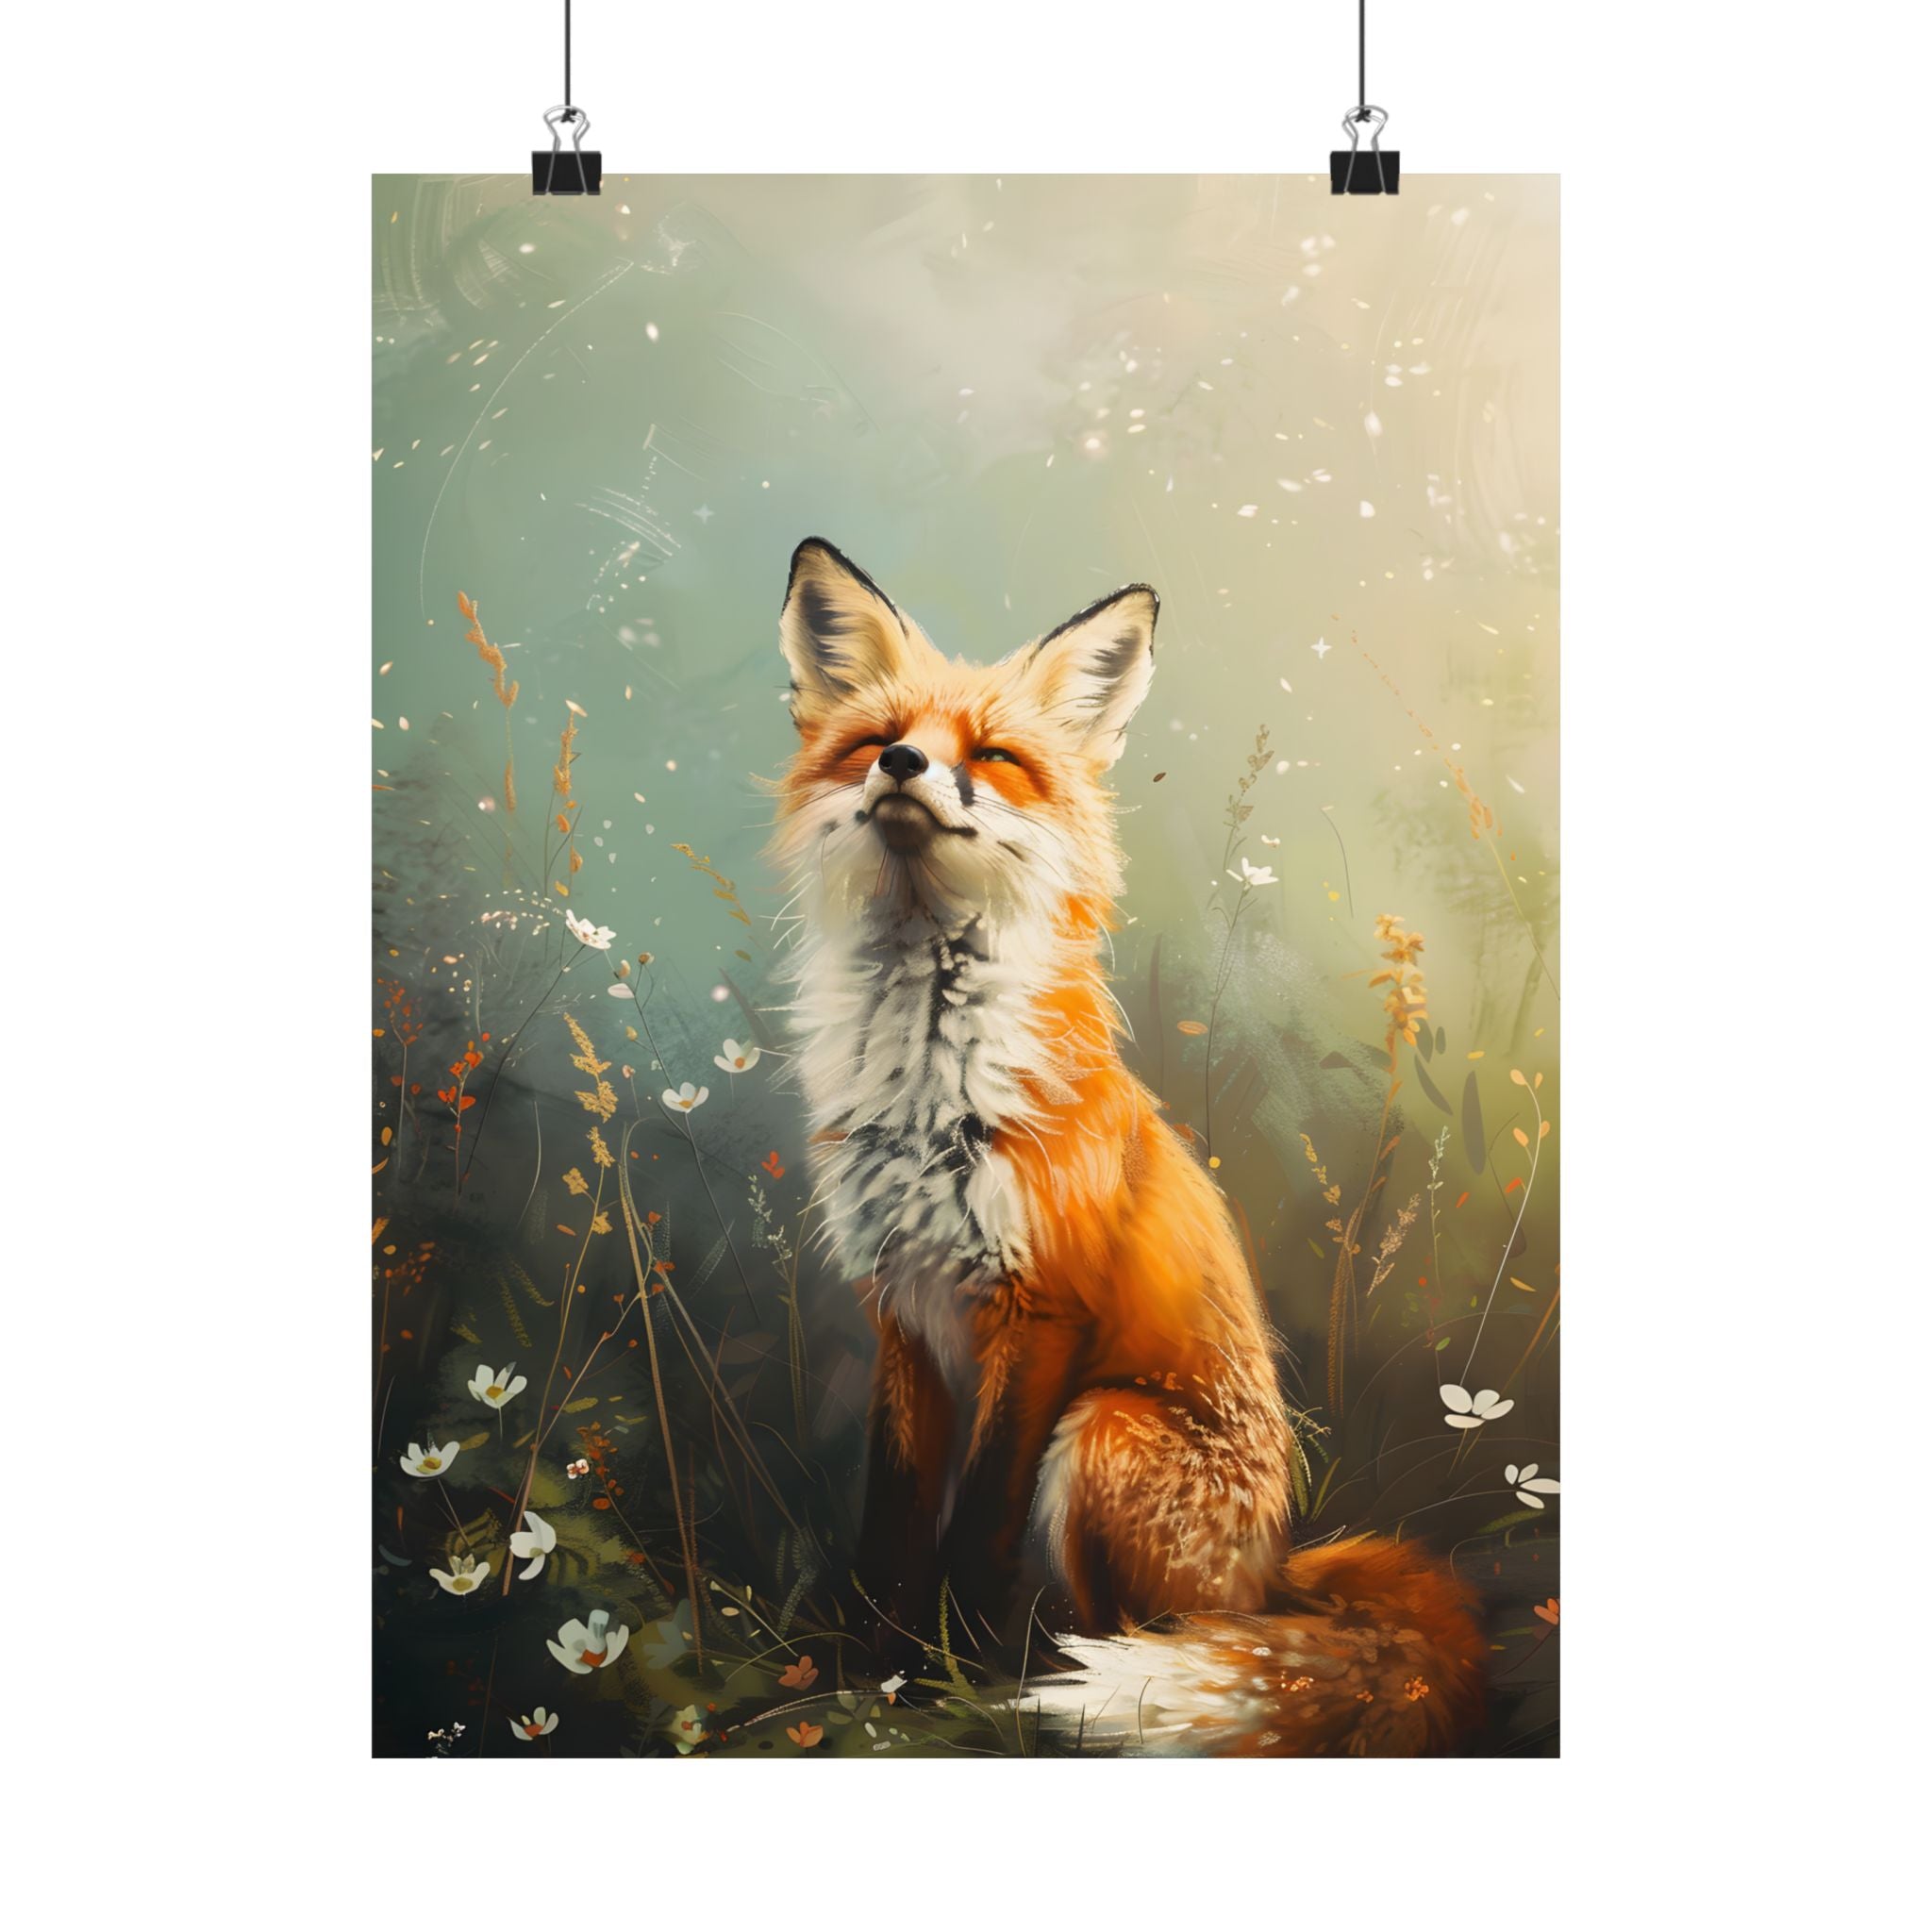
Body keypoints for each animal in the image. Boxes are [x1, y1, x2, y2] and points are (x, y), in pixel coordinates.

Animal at [769, 537, 1485, 1755]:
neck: (928, 1078)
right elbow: (891, 1520)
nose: (904, 764)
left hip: (1103, 1429)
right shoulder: (900, 1309)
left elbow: (974, 1530)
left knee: (1157, 1640)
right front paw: (870, 1667)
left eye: (993, 756)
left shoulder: (1040, 1309)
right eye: (877, 739)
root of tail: (1273, 1575)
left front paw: (944, 1683)